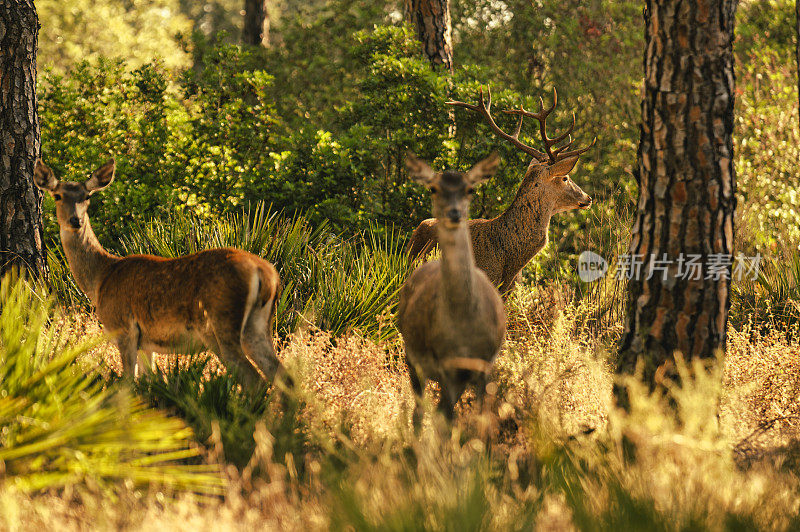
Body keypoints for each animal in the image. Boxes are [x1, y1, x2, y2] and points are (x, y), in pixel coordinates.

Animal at [35, 158, 284, 386]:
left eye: (87, 196)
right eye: (58, 196)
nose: (75, 220)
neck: (101, 278)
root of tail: (265, 273)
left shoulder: (124, 329)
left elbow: (128, 383)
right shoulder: (146, 343)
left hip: (221, 322)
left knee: (255, 380)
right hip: (259, 325)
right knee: (282, 375)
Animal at [398, 152, 506, 422]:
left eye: (470, 189)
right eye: (433, 188)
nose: (454, 213)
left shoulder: (484, 366)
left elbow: (481, 417)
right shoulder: (445, 366)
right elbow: (443, 417)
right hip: (412, 358)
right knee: (419, 410)